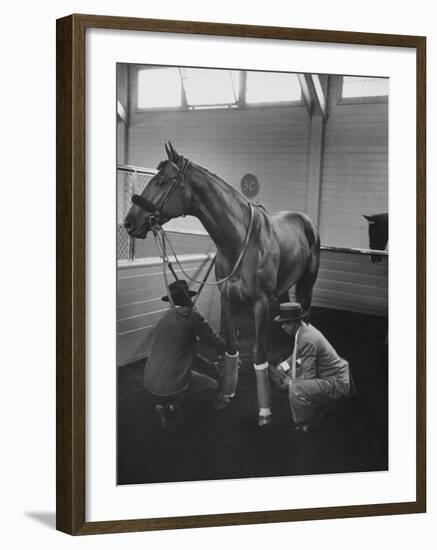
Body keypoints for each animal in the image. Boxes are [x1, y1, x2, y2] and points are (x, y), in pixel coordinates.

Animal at [124, 143, 318, 426]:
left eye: (161, 181)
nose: (129, 222)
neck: (239, 241)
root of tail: (306, 220)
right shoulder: (227, 300)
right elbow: (231, 346)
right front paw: (225, 395)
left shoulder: (260, 303)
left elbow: (258, 353)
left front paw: (264, 411)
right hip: (283, 290)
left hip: (307, 283)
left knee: (305, 318)